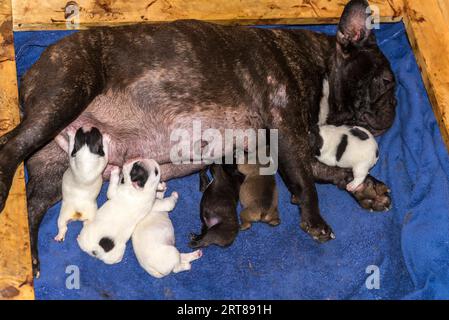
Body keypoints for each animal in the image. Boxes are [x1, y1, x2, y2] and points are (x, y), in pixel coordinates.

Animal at [0, 0, 392, 276]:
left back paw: (31, 257)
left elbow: (324, 172)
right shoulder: (288, 131)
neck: (320, 64)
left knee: (34, 202)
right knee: (10, 147)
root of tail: (32, 71)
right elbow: (307, 182)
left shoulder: (293, 144)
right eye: (387, 83)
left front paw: (368, 190)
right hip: (65, 96)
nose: (394, 109)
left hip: (57, 164)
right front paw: (316, 220)